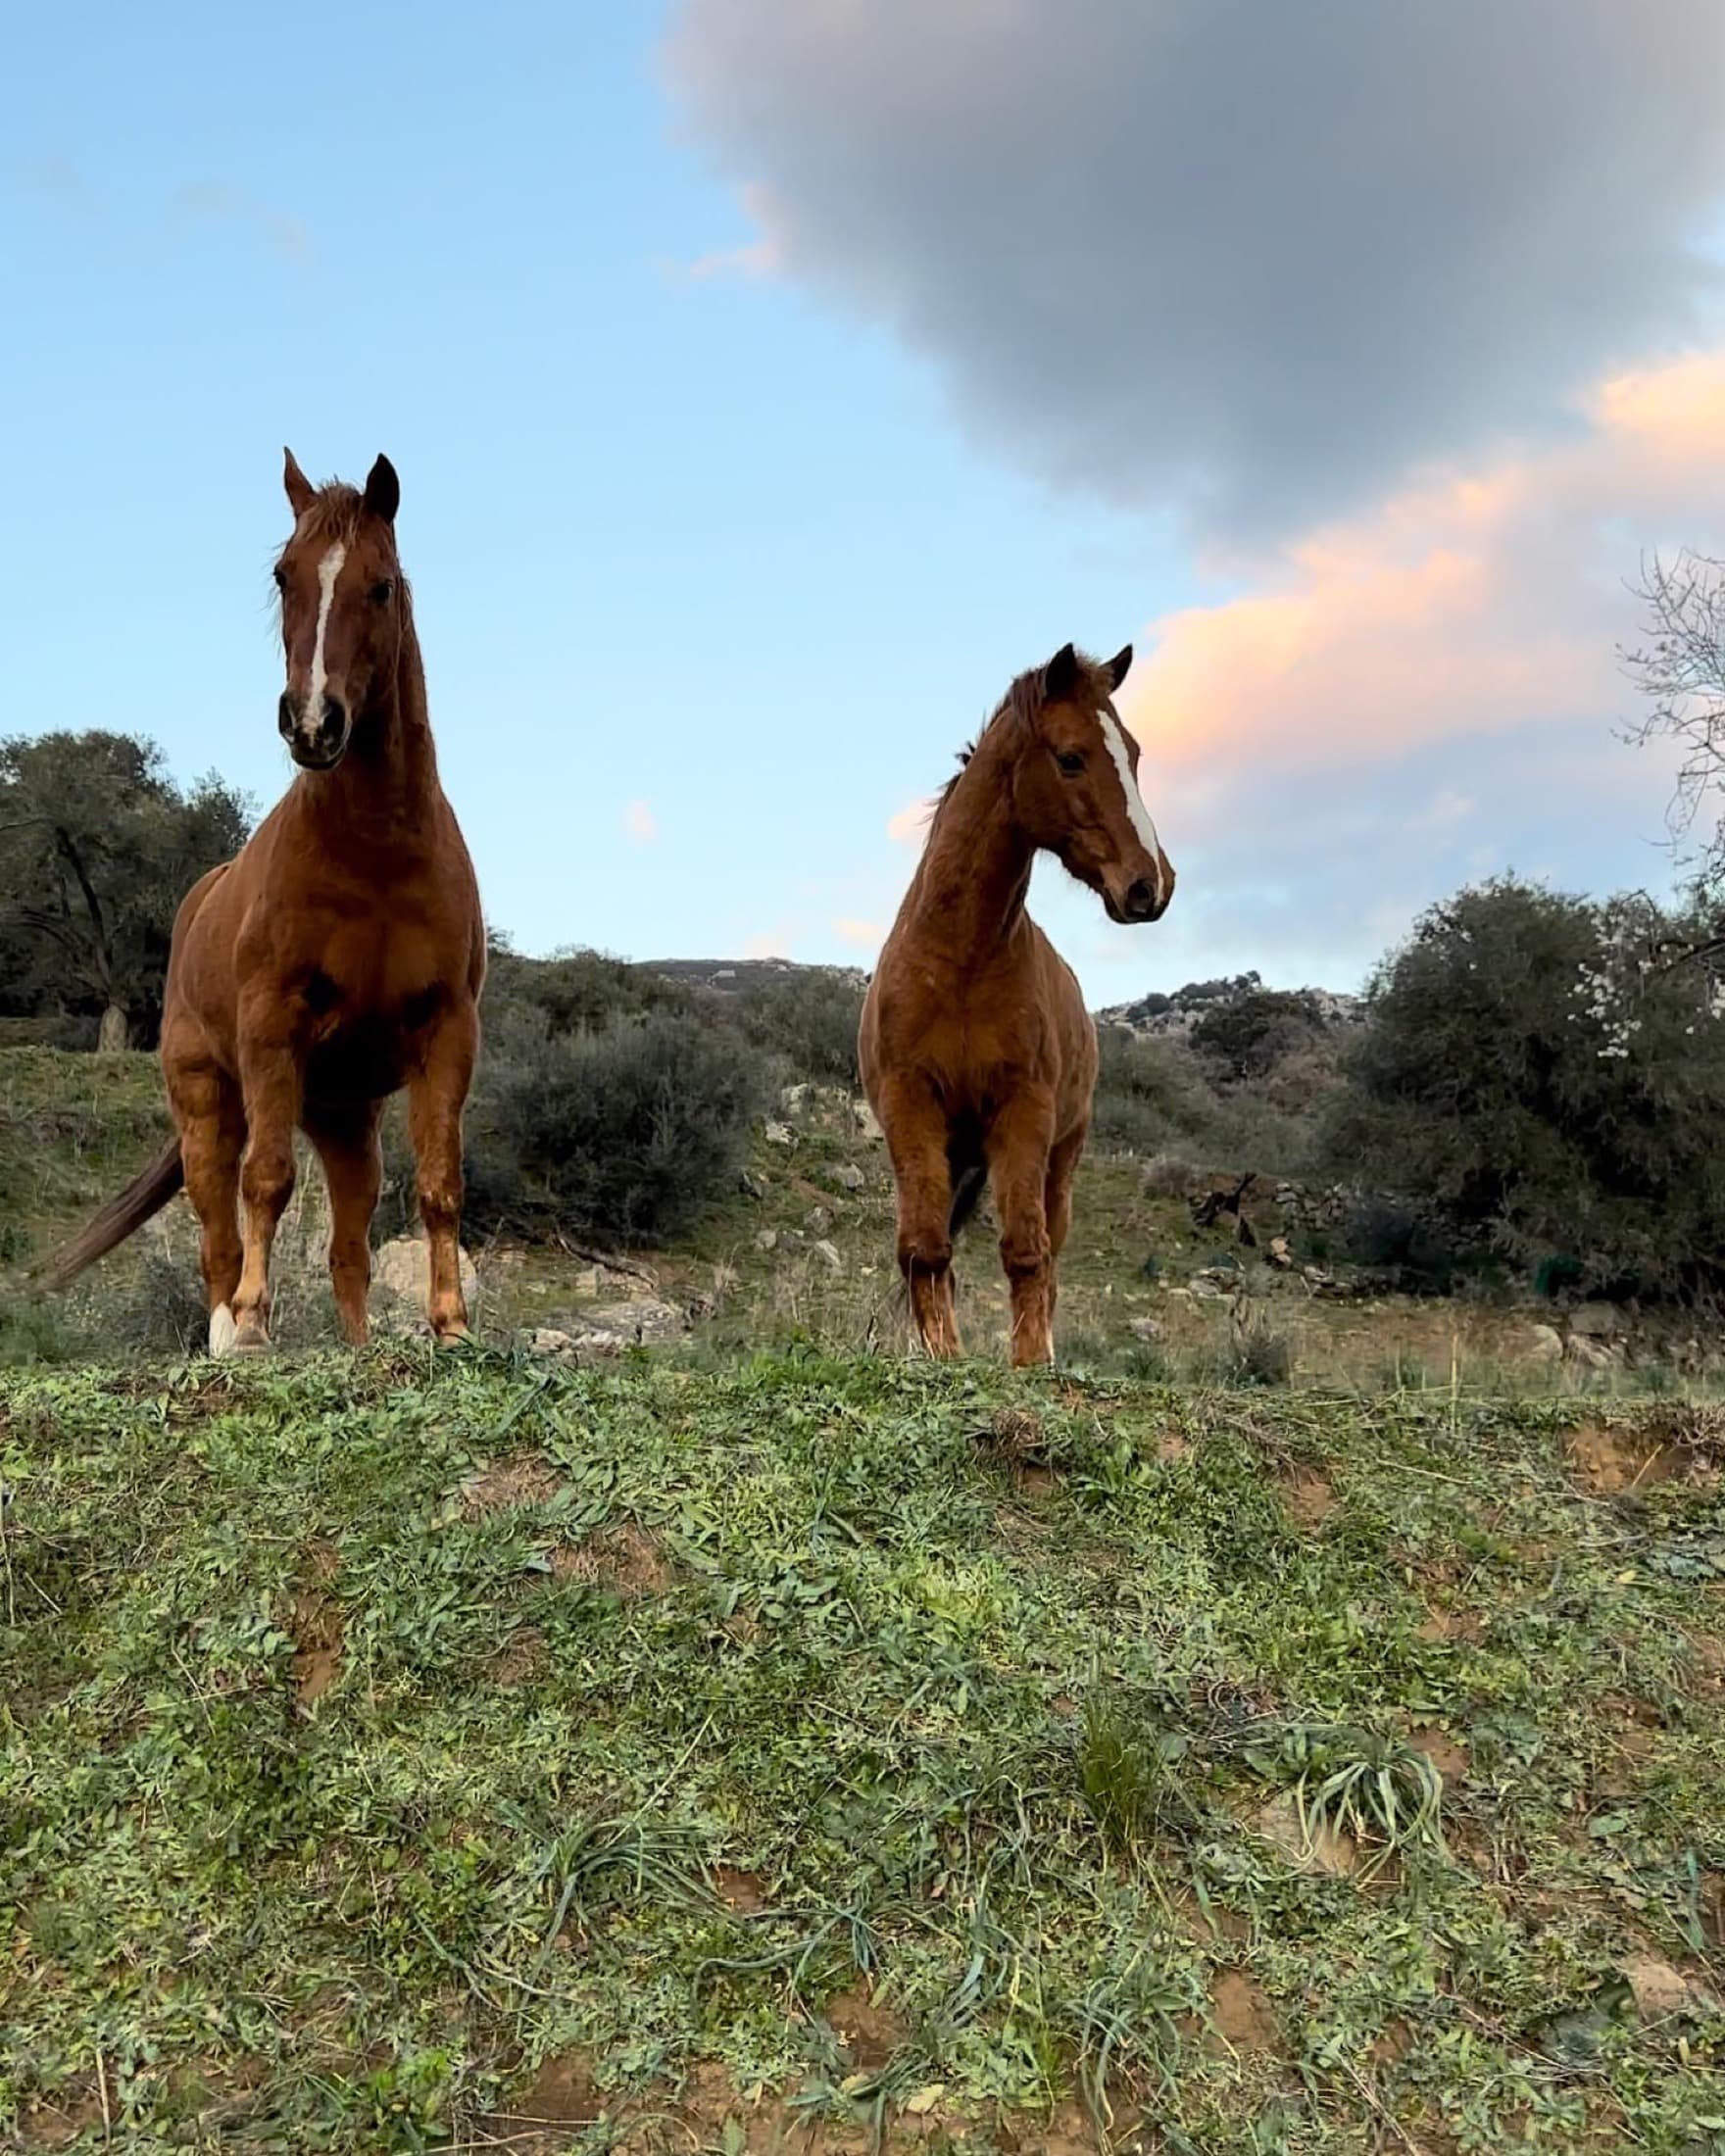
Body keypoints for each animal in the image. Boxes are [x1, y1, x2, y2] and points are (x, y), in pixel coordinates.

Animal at [43, 450, 486, 1354]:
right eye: (285, 576)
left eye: (380, 585)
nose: (313, 723)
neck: (376, 852)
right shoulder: (272, 1027)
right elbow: (268, 1182)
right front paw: (251, 1325)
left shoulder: (448, 1030)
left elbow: (439, 1186)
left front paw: (452, 1326)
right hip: (207, 1097)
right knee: (218, 1222)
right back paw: (224, 1326)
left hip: (345, 1119)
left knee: (347, 1245)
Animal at [858, 641, 1174, 1367]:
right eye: (1071, 756)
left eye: (1134, 754)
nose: (1151, 884)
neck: (962, 960)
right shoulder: (911, 1107)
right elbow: (925, 1249)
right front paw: (942, 1354)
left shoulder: (1023, 1111)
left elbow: (1027, 1252)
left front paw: (1031, 1362)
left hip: (1062, 1159)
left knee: (1050, 1254)